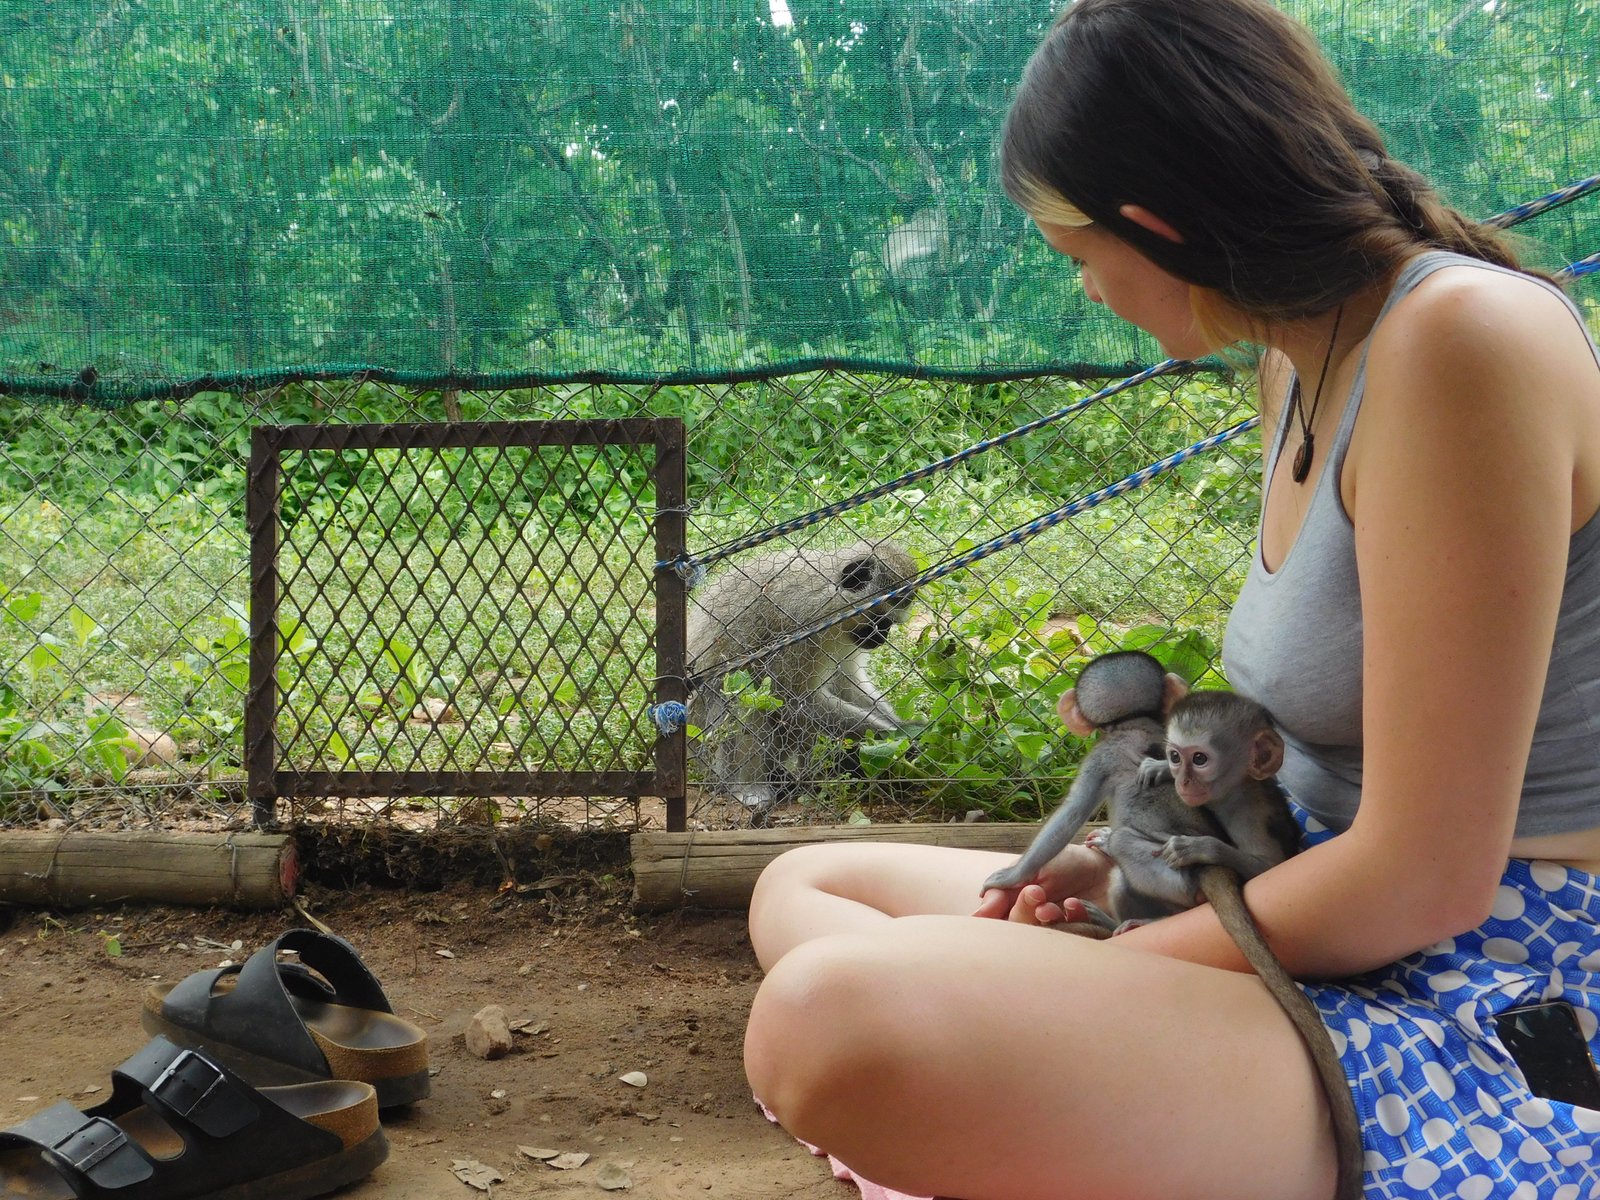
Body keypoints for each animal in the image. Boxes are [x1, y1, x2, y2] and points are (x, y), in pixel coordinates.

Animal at [684, 540, 918, 823]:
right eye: (880, 620)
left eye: (889, 624)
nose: (881, 638)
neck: (830, 597)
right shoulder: (800, 621)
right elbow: (792, 699)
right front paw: (898, 740)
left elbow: (846, 681)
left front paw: (906, 727)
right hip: (704, 741)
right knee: (749, 700)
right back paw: (749, 788)